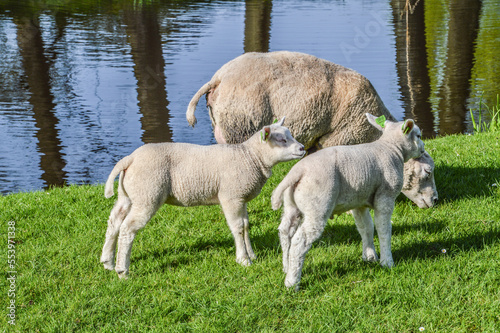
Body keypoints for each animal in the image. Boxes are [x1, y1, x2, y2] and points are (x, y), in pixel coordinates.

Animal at [100, 117, 304, 278]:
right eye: (282, 139)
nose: (302, 148)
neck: (250, 157)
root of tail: (130, 159)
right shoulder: (231, 196)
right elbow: (237, 227)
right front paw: (243, 260)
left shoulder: (241, 197)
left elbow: (246, 226)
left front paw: (252, 255)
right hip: (147, 194)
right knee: (128, 228)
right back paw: (122, 271)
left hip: (128, 194)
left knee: (114, 222)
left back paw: (107, 262)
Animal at [272, 113, 424, 290]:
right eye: (418, 136)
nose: (423, 147)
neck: (391, 148)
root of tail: (298, 172)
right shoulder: (385, 197)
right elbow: (383, 229)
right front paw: (387, 262)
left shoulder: (359, 201)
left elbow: (366, 227)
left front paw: (369, 256)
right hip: (318, 205)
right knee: (300, 241)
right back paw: (292, 282)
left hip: (291, 205)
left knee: (285, 232)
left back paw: (286, 267)